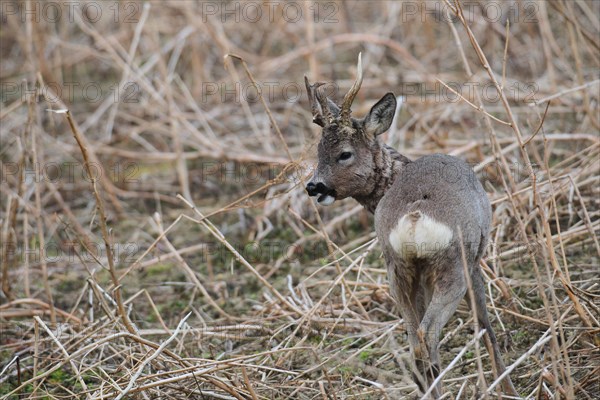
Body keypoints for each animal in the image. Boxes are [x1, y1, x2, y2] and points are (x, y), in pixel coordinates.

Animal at [304, 54, 516, 398]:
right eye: (320, 151)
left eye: (343, 154)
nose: (314, 186)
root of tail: (414, 218)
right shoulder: (475, 261)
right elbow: (485, 326)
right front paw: (507, 385)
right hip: (453, 266)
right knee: (427, 336)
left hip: (398, 268)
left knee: (414, 337)